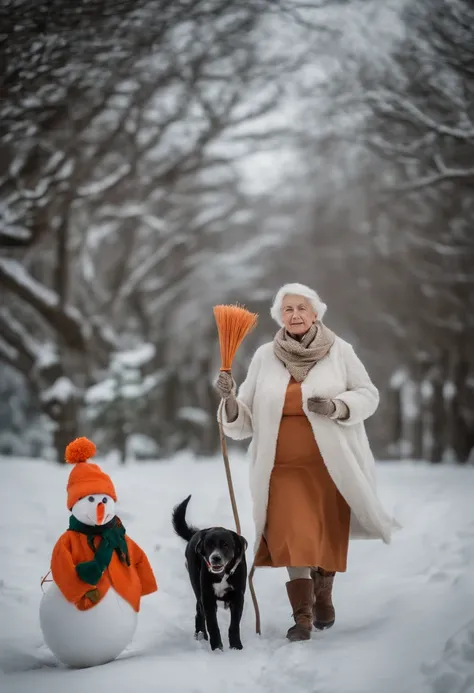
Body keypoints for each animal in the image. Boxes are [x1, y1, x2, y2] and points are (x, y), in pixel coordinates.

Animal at [173, 492, 248, 648]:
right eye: (209, 545)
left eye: (226, 544)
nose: (215, 558)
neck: (222, 575)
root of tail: (195, 535)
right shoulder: (207, 597)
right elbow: (213, 624)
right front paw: (217, 648)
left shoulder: (238, 597)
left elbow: (234, 625)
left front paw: (236, 647)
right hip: (197, 585)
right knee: (199, 612)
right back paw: (201, 635)